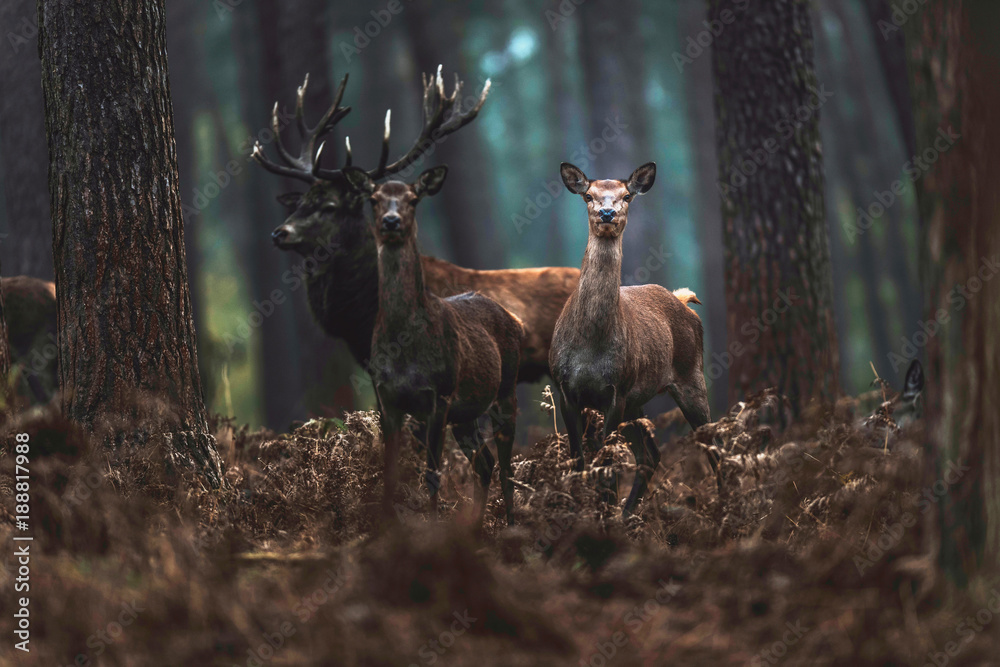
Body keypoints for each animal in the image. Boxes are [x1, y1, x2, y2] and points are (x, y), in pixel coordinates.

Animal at [340, 164, 522, 526]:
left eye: (413, 199)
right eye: (374, 198)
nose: (391, 221)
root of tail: (514, 319)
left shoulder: (439, 394)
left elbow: (433, 474)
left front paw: (434, 526)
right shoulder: (387, 399)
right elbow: (390, 474)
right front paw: (386, 528)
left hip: (505, 390)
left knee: (507, 468)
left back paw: (511, 525)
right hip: (465, 413)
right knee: (485, 463)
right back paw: (474, 529)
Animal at [550, 162, 712, 516]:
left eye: (627, 196)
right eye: (588, 195)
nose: (607, 212)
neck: (590, 345)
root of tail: (683, 300)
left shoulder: (617, 390)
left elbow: (606, 462)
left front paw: (600, 514)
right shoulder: (564, 387)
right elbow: (579, 459)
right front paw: (580, 511)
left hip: (690, 377)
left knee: (713, 444)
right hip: (638, 401)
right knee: (651, 454)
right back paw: (627, 515)